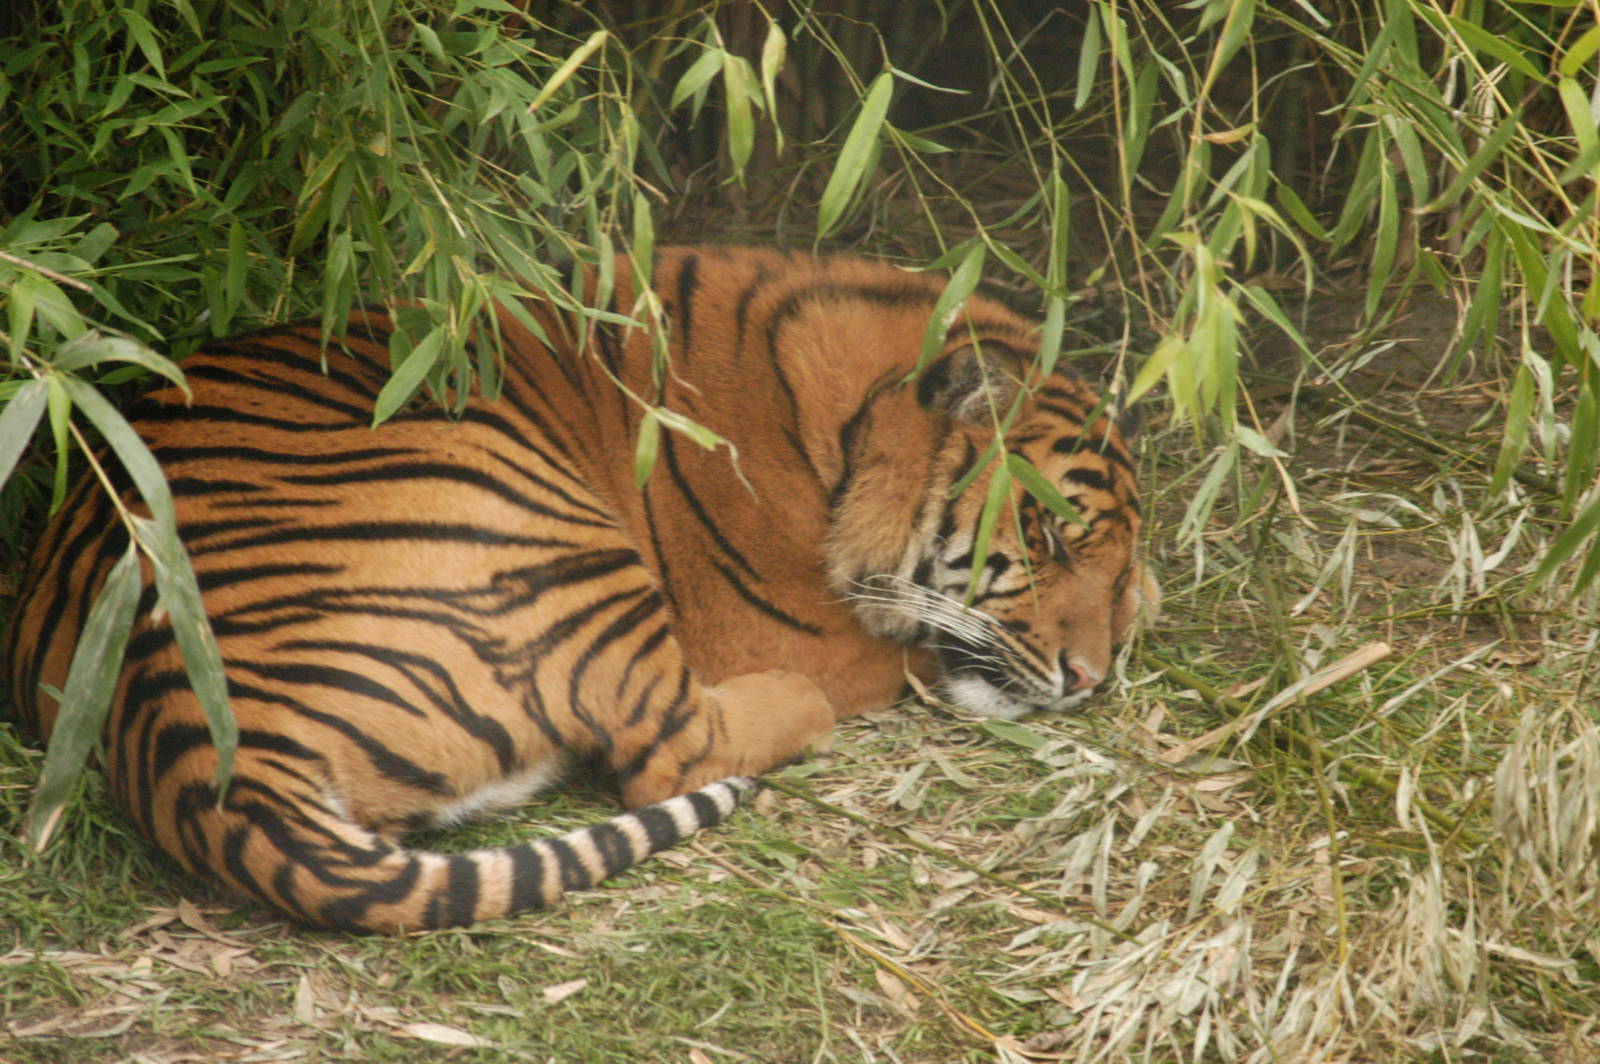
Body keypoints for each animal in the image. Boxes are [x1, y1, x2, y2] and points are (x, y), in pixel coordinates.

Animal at [6, 246, 1152, 933]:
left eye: (1117, 566)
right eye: (1045, 534)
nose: (1088, 679)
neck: (846, 430)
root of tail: (178, 722)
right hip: (547, 527)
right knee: (678, 752)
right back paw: (793, 711)